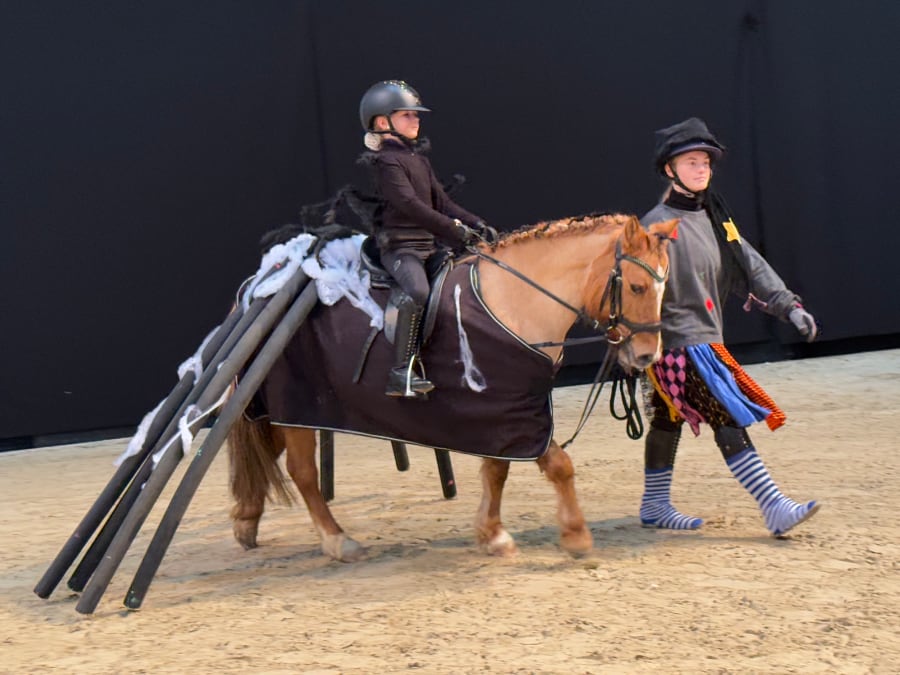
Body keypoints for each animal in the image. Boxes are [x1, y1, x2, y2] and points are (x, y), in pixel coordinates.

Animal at [225, 214, 676, 564]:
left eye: (663, 288)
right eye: (636, 286)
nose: (646, 356)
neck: (515, 299)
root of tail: (255, 290)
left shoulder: (504, 408)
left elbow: (497, 470)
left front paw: (492, 534)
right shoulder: (513, 410)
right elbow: (558, 465)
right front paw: (577, 536)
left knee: (265, 449)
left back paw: (247, 519)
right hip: (295, 404)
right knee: (302, 471)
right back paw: (337, 540)